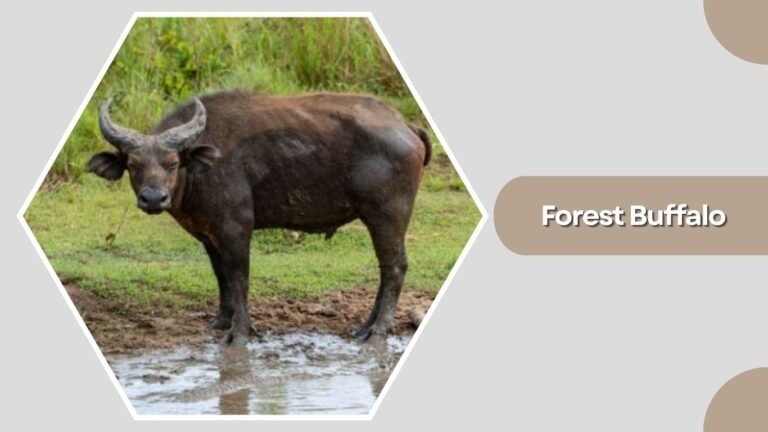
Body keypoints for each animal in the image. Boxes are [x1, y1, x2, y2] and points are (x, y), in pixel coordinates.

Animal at [87, 90, 431, 345]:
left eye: (172, 162)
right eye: (133, 165)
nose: (154, 198)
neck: (199, 169)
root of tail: (405, 125)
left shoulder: (236, 228)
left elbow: (239, 276)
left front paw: (239, 331)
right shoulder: (209, 233)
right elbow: (221, 275)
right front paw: (222, 320)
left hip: (387, 216)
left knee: (394, 266)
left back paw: (378, 330)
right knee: (386, 269)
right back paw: (366, 326)